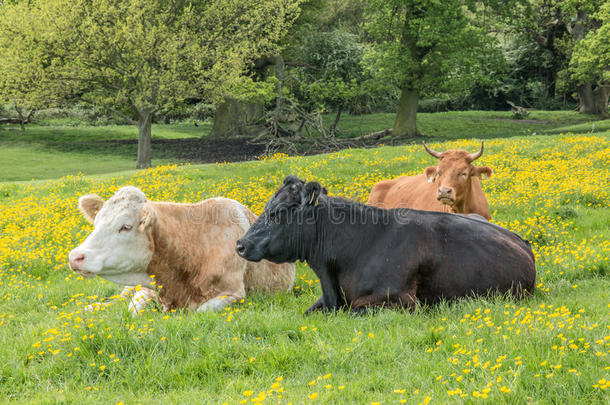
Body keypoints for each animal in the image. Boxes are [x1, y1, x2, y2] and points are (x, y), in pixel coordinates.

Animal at [67, 185, 294, 314]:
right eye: (97, 222)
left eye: (126, 226)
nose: (75, 256)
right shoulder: (147, 290)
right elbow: (133, 310)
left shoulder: (234, 294)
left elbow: (200, 312)